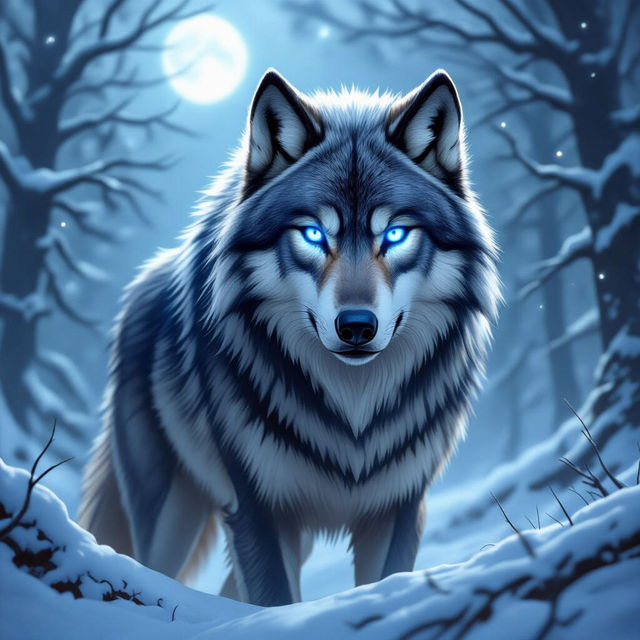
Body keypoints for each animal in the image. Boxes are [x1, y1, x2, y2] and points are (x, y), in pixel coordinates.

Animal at [78, 68, 500, 606]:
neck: (352, 408)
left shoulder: (399, 508)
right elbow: (275, 600)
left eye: (396, 235)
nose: (357, 326)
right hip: (173, 513)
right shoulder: (257, 506)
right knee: (152, 567)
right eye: (314, 235)